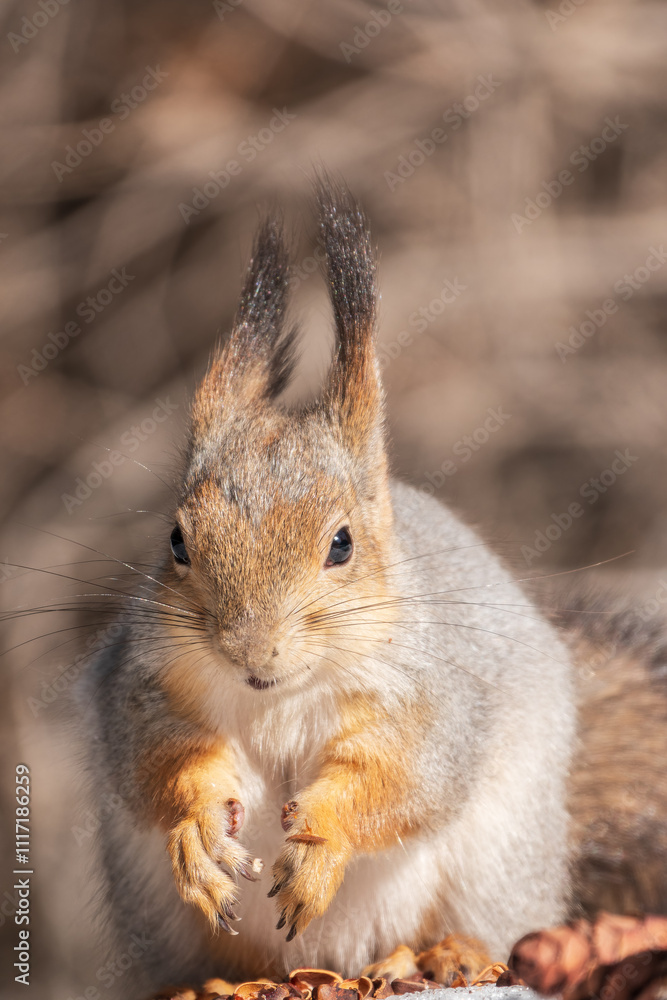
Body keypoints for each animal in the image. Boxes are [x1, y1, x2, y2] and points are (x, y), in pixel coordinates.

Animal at [78, 179, 666, 996]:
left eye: (342, 544)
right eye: (176, 541)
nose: (252, 653)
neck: (278, 698)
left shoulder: (435, 698)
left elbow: (397, 776)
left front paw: (323, 837)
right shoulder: (139, 686)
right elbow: (157, 759)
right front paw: (197, 826)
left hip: (497, 861)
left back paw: (443, 955)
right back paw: (217, 981)